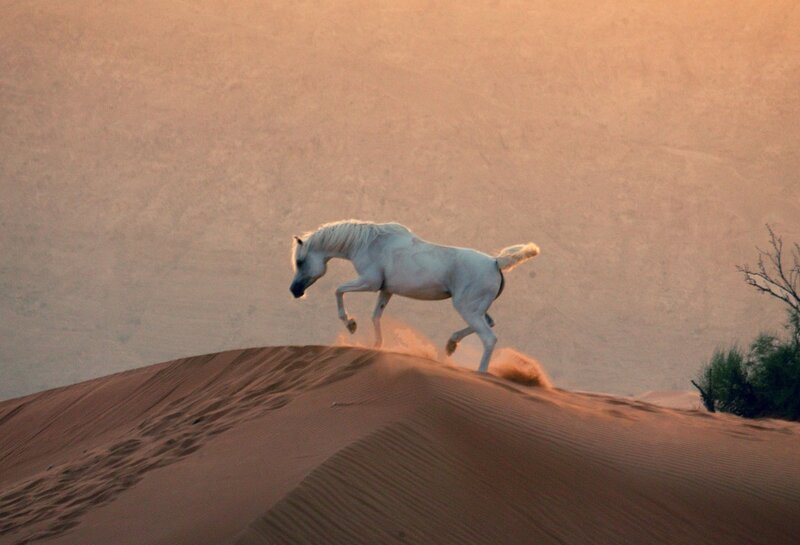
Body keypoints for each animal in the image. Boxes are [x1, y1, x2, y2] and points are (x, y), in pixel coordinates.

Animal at [289, 220, 539, 373]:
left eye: (300, 261)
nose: (294, 291)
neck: (369, 243)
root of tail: (495, 262)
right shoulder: (386, 290)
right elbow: (375, 316)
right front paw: (377, 345)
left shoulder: (369, 282)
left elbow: (338, 290)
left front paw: (350, 324)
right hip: (475, 309)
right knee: (490, 323)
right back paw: (451, 345)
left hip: (467, 308)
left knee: (489, 338)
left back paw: (481, 371)